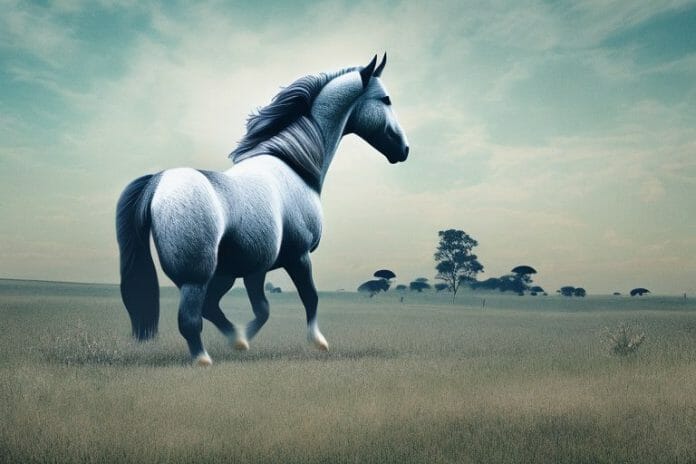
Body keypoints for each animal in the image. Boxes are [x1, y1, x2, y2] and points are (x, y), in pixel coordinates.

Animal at [115, 54, 409, 365]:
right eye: (386, 99)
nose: (404, 149)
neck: (292, 166)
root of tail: (159, 182)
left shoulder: (252, 269)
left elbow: (261, 308)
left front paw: (240, 340)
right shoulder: (298, 256)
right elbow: (309, 297)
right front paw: (318, 342)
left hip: (217, 275)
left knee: (207, 309)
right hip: (196, 278)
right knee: (190, 320)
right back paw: (203, 360)